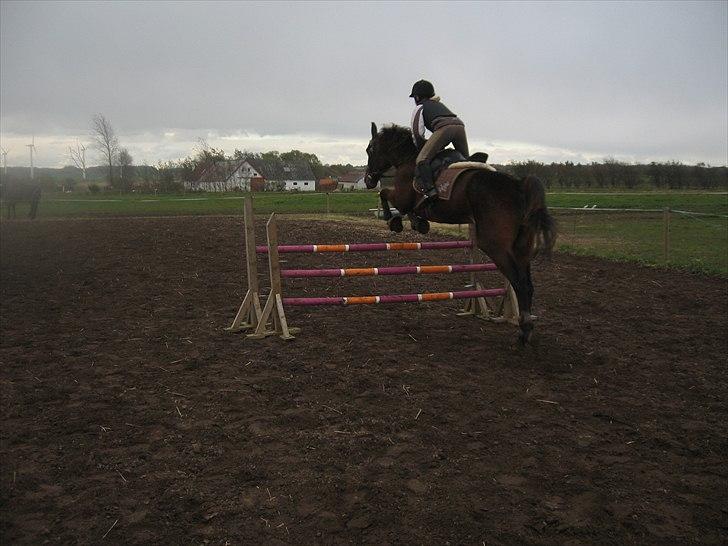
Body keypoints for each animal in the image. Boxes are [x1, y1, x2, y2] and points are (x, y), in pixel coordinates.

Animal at [364, 123, 556, 344]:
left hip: (494, 245)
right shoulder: (410, 202)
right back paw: (526, 325)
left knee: (519, 283)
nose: (369, 180)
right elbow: (407, 209)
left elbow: (386, 195)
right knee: (527, 284)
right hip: (522, 246)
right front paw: (417, 223)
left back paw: (524, 332)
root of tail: (518, 186)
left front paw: (392, 219)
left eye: (370, 149)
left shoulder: (403, 198)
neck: (408, 159)